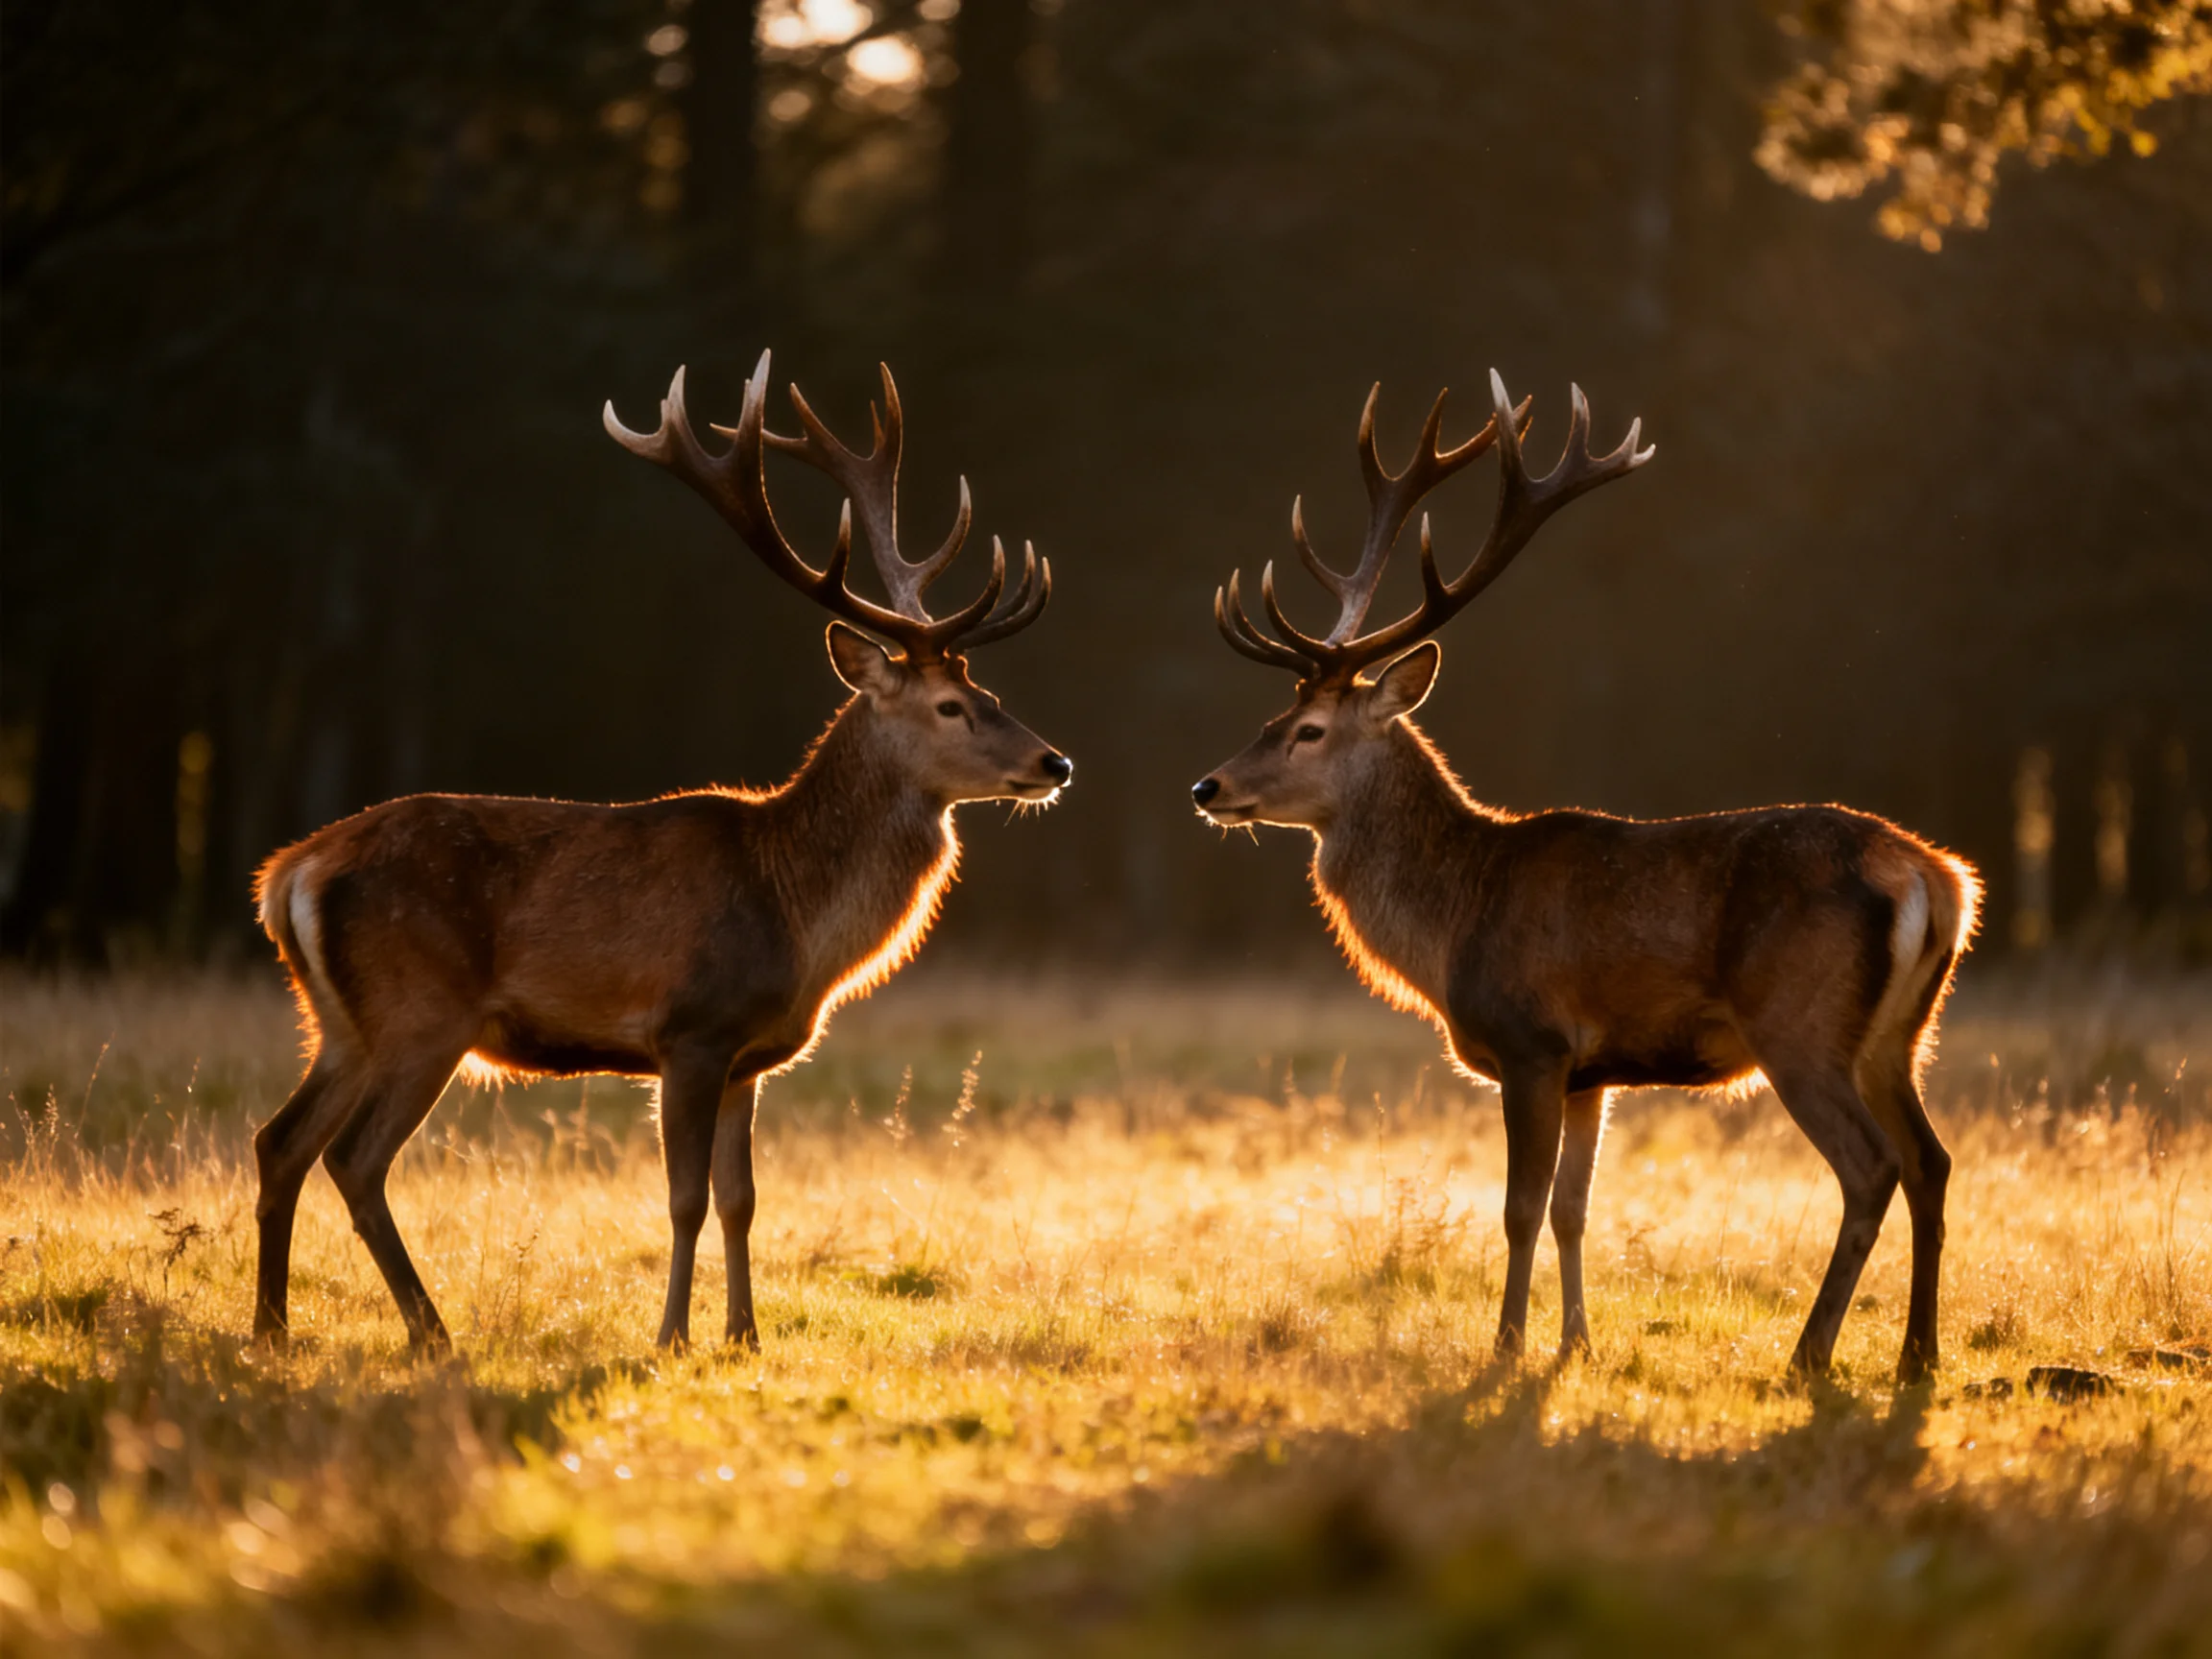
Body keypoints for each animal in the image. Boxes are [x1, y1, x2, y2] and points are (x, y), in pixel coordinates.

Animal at [250, 349, 1071, 1355]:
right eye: (952, 707)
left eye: (989, 692)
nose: (1055, 762)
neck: (797, 917)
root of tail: (289, 873)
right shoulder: (691, 1030)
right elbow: (685, 1199)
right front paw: (673, 1335)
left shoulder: (749, 1056)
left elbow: (743, 1198)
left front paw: (745, 1336)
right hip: (421, 1011)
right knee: (355, 1159)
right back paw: (431, 1333)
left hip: (340, 1022)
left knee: (281, 1141)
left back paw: (271, 1329)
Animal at [1190, 370, 1979, 1383]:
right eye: (1269, 719)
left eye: (1307, 732)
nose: (1208, 787)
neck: (1455, 923)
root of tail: (1941, 879)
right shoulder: (1591, 1072)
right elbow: (1574, 1209)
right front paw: (1577, 1341)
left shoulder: (1532, 1043)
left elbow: (1520, 1209)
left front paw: (1505, 1345)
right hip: (1900, 1034)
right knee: (1932, 1161)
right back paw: (1918, 1357)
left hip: (1800, 1025)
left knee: (1872, 1167)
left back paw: (1810, 1354)